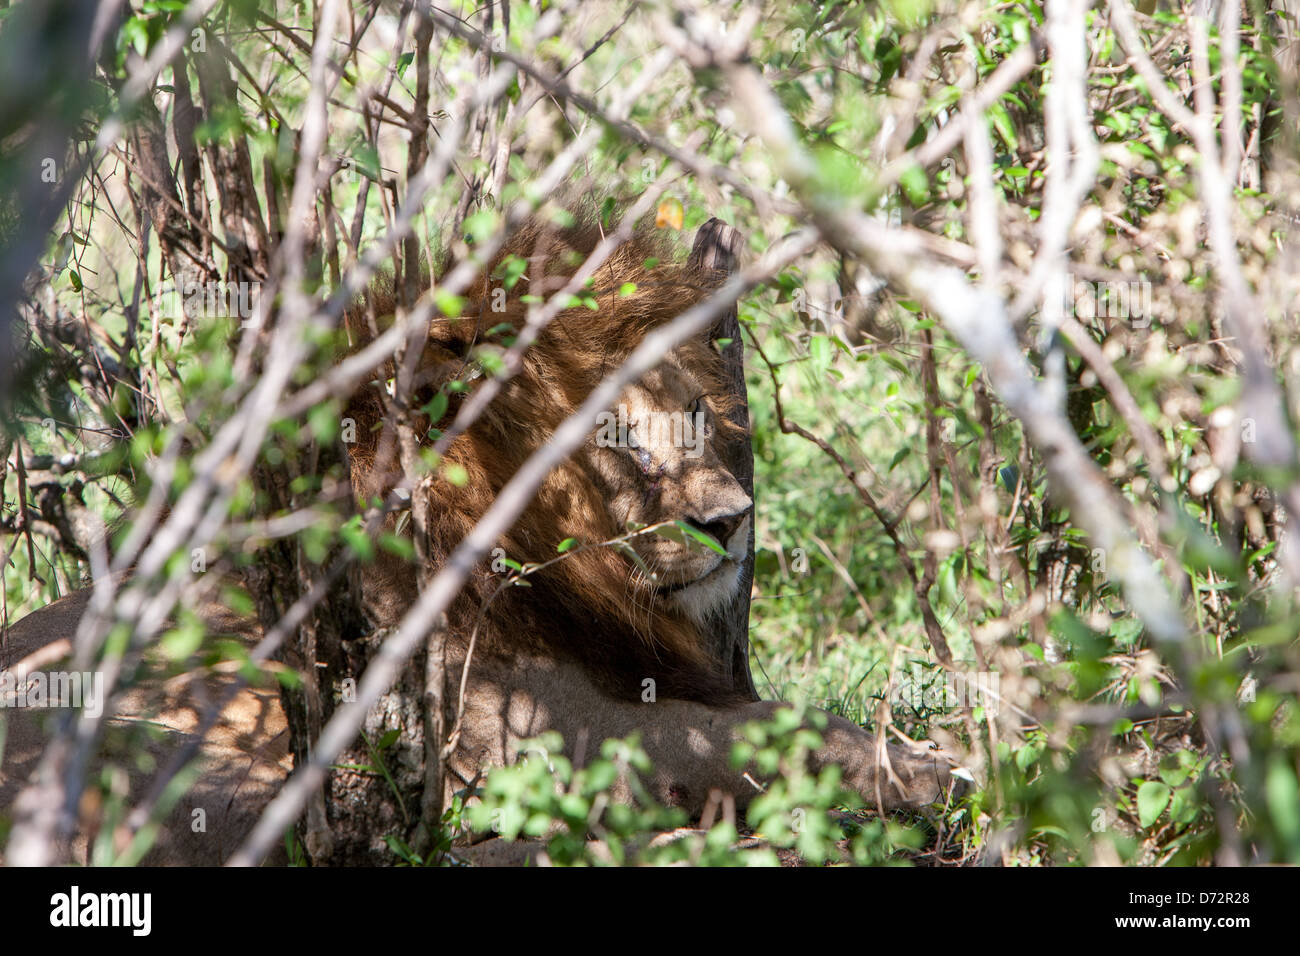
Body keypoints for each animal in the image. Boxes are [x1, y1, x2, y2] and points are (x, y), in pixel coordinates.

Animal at [0, 212, 953, 865]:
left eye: (695, 413)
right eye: (611, 435)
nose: (729, 521)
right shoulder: (542, 730)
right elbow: (777, 731)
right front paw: (940, 769)